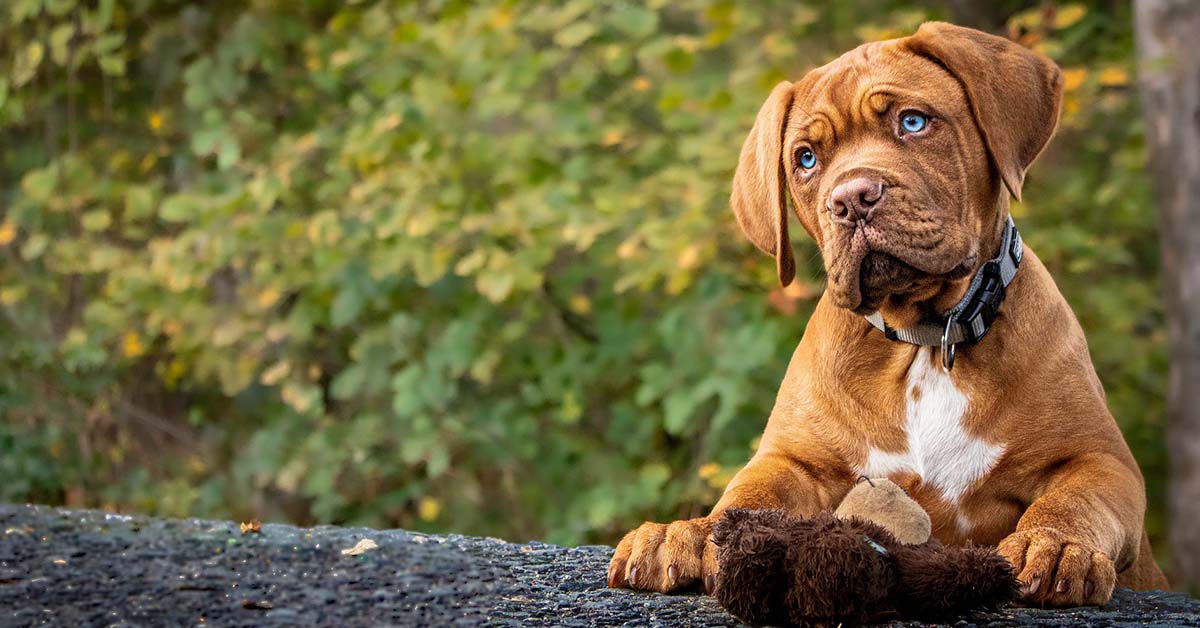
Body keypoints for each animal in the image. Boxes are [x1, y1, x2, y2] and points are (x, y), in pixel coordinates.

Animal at [604, 22, 1166, 607]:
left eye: (912, 122)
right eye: (806, 159)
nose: (852, 198)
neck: (926, 337)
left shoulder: (1101, 461)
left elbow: (1076, 501)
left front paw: (1054, 543)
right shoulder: (792, 461)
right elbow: (747, 494)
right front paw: (688, 533)